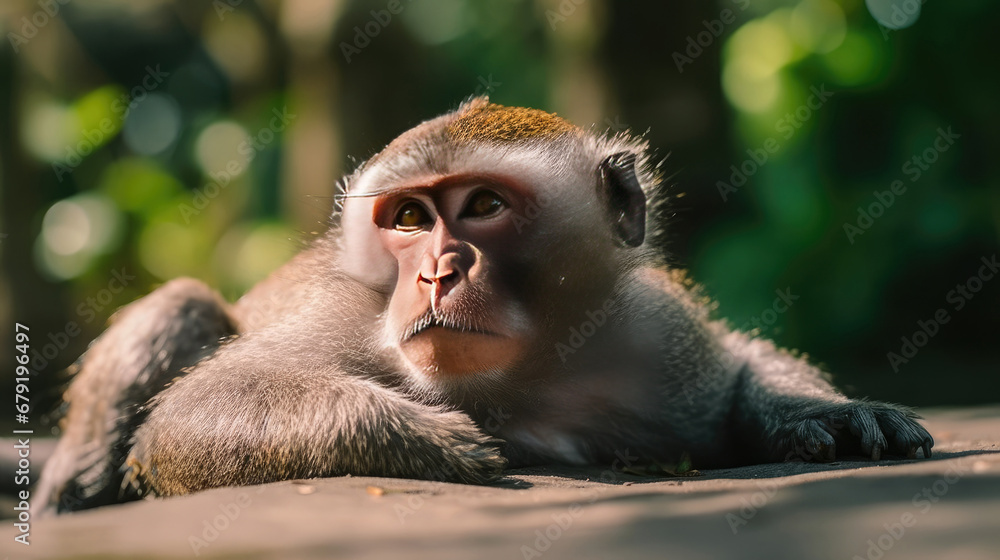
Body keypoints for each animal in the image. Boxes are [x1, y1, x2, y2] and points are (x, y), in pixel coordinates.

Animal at [35, 96, 932, 512]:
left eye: (485, 206)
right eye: (407, 218)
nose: (434, 273)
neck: (524, 378)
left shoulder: (654, 332)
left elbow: (737, 366)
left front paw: (822, 409)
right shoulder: (357, 315)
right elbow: (194, 414)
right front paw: (420, 438)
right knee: (185, 304)